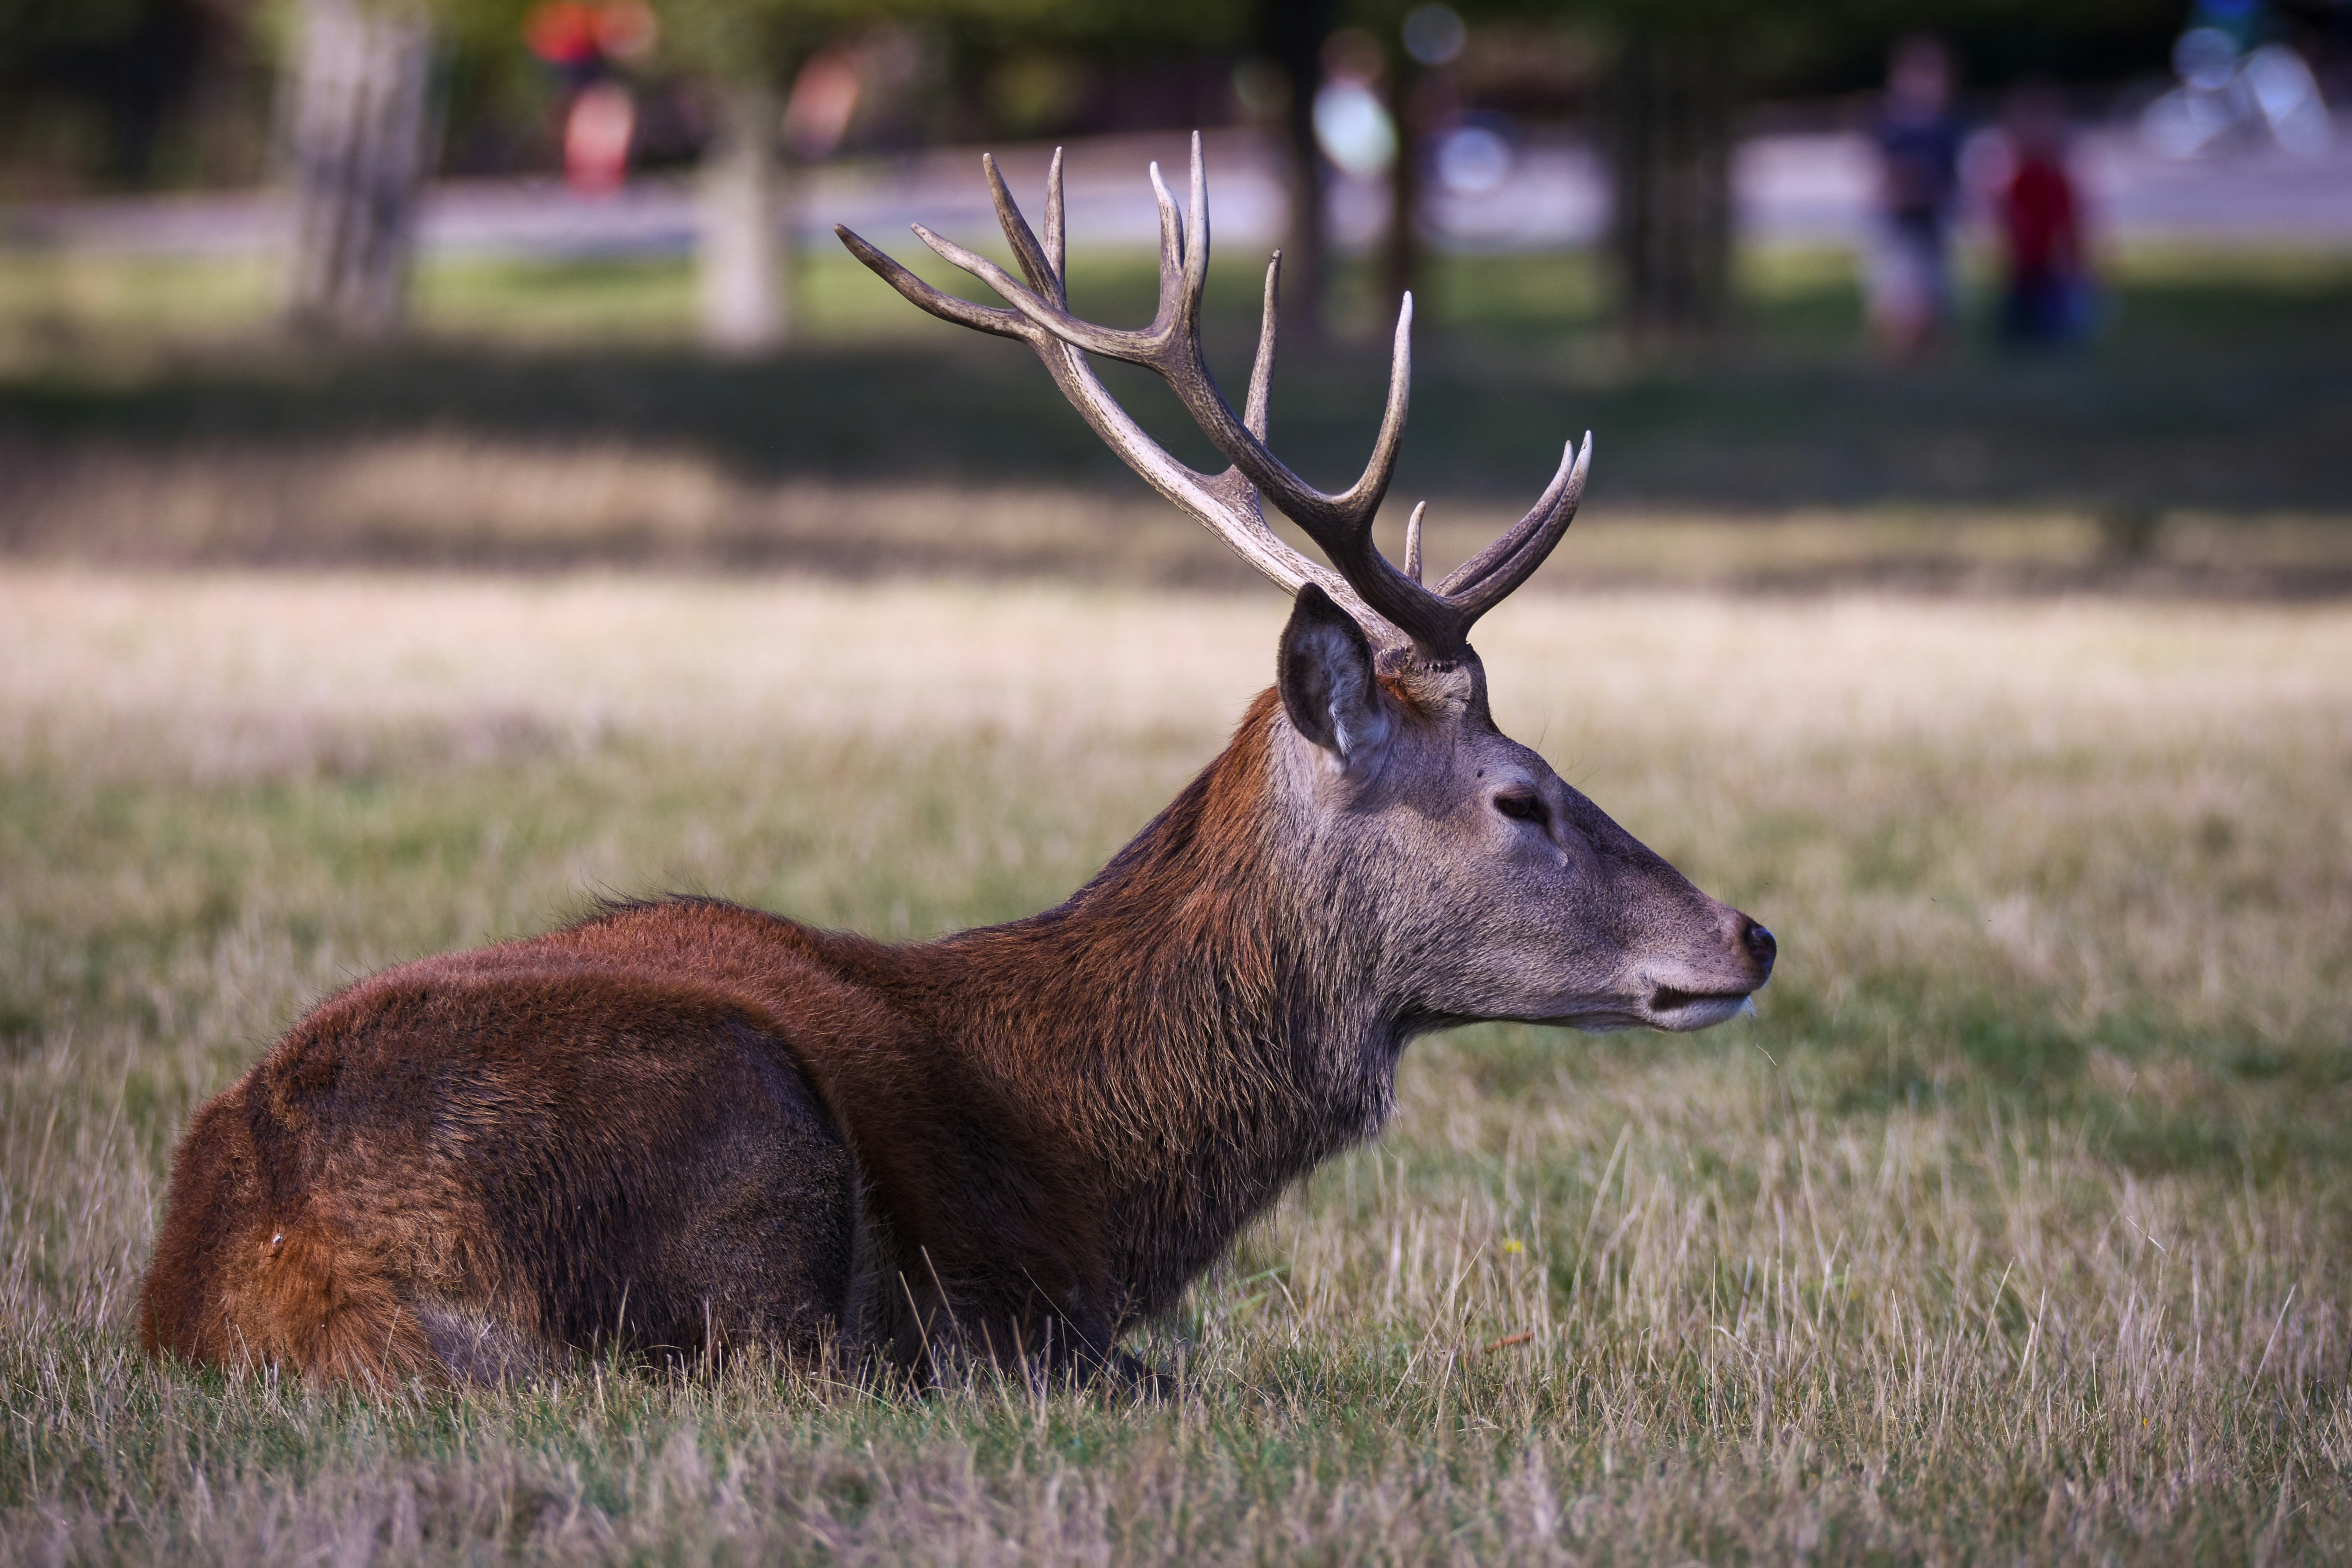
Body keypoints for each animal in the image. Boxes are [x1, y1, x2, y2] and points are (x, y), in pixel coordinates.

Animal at [138, 138, 1774, 1389]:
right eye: (1519, 792)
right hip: (741, 1127)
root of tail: (269, 1272)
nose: (1749, 934)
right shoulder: (1012, 1300)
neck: (1097, 1162)